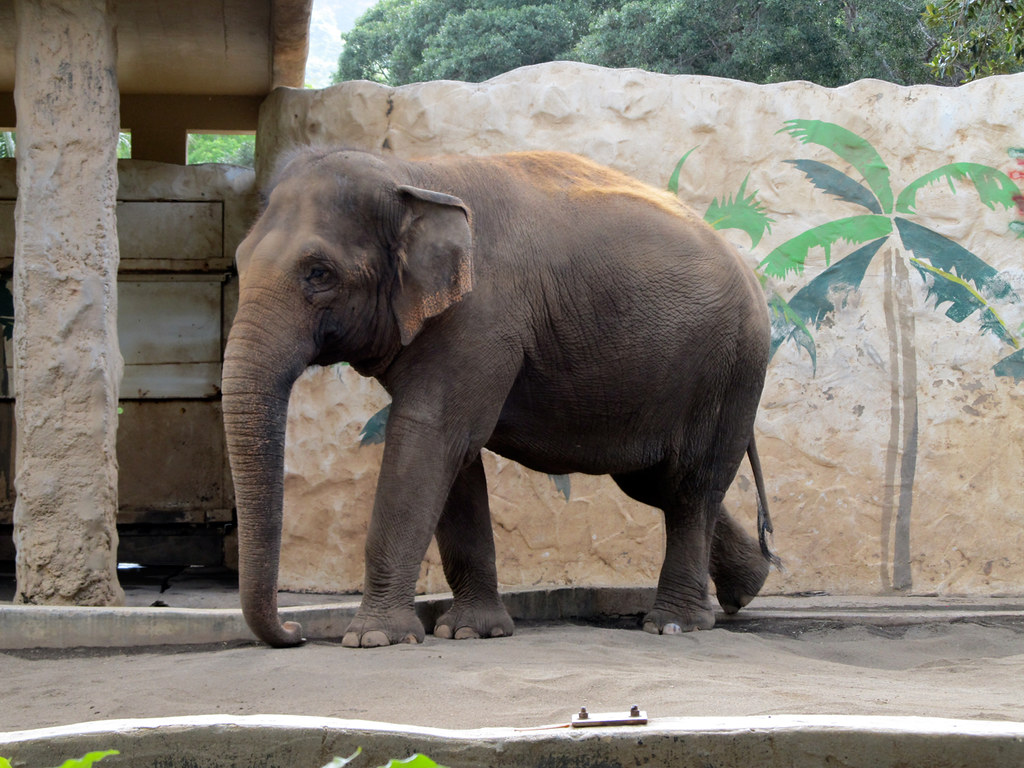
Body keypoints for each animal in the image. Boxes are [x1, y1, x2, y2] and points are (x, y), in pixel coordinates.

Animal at [222, 147, 777, 649]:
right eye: (239, 263)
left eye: (319, 273)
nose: (294, 632)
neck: (412, 173)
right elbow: (455, 459)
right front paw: (470, 631)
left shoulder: (480, 319)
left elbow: (427, 438)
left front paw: (372, 639)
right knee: (653, 482)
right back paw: (748, 589)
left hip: (730, 368)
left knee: (690, 485)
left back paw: (674, 624)